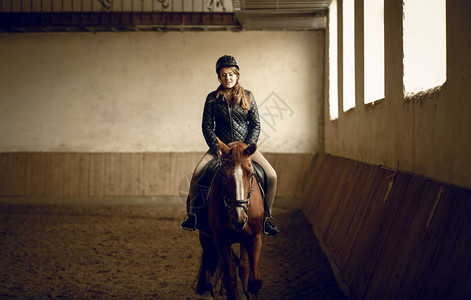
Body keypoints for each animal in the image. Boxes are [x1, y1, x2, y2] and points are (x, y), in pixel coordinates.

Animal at [195, 139, 266, 298]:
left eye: (251, 174)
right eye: (223, 174)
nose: (238, 219)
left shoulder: (254, 237)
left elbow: (255, 282)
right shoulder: (220, 238)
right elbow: (230, 281)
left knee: (242, 267)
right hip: (206, 237)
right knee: (210, 263)